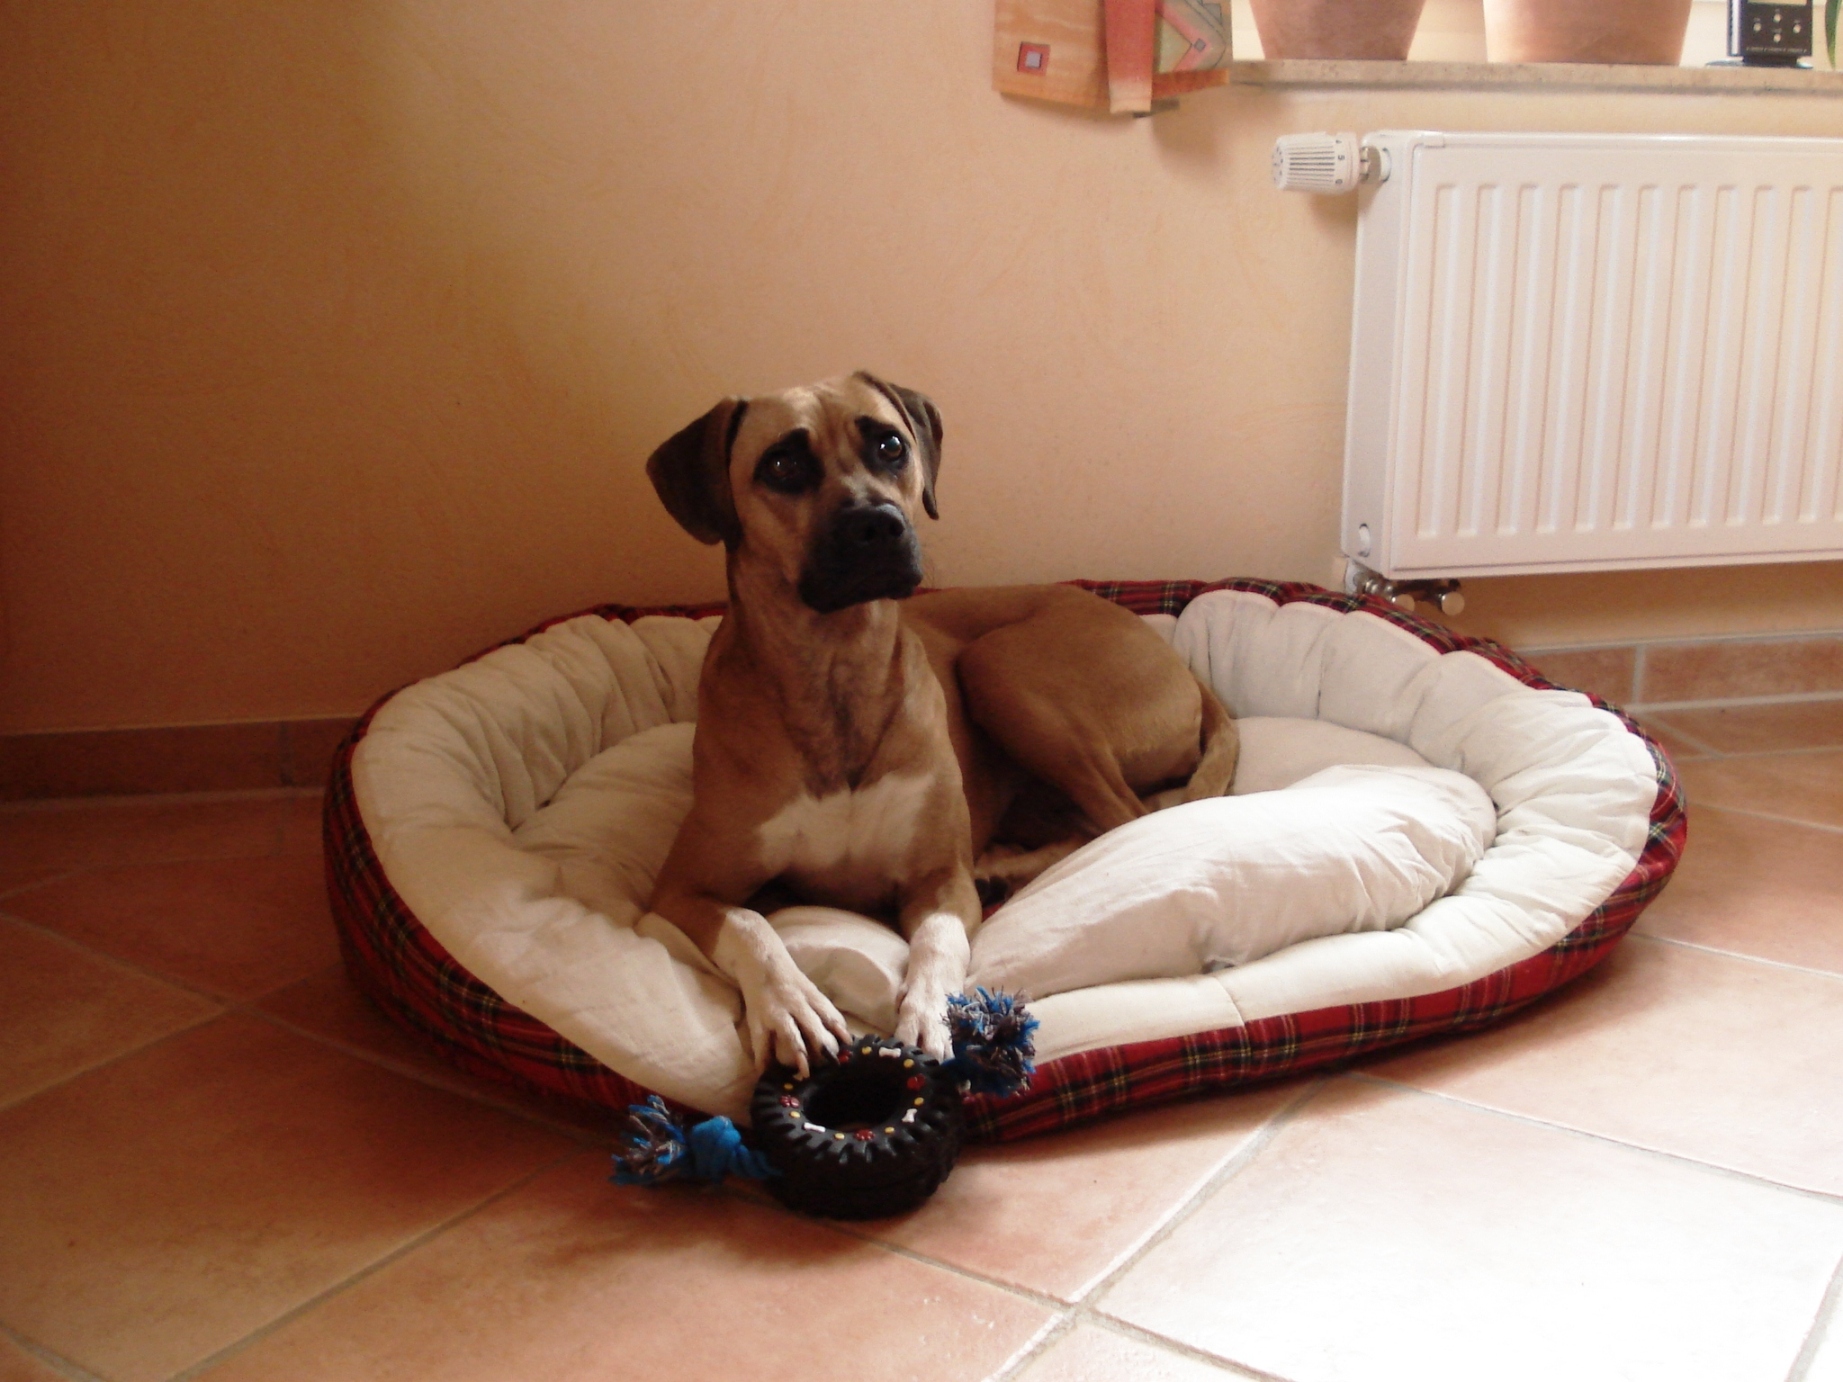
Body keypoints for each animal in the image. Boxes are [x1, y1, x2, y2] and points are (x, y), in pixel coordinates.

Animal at [645, 372, 1237, 1075]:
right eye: (782, 465)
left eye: (889, 445)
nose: (878, 523)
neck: (836, 668)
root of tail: (1181, 666)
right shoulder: (683, 888)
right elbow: (750, 924)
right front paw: (789, 1001)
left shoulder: (938, 878)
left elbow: (939, 941)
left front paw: (931, 1012)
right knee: (1103, 821)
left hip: (1001, 666)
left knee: (1126, 816)